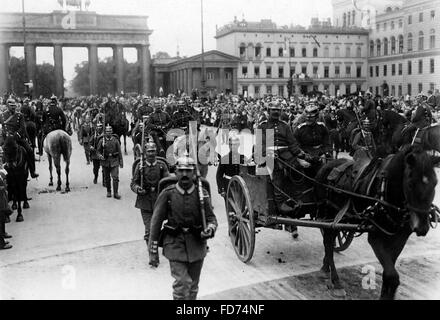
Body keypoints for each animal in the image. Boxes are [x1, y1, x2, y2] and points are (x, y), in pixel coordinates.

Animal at [314, 145, 438, 300]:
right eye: (410, 184)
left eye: (435, 183)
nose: (422, 227)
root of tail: (328, 164)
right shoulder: (375, 237)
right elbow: (392, 276)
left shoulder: (399, 239)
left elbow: (389, 272)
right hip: (330, 214)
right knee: (328, 243)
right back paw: (336, 282)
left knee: (329, 241)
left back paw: (325, 268)